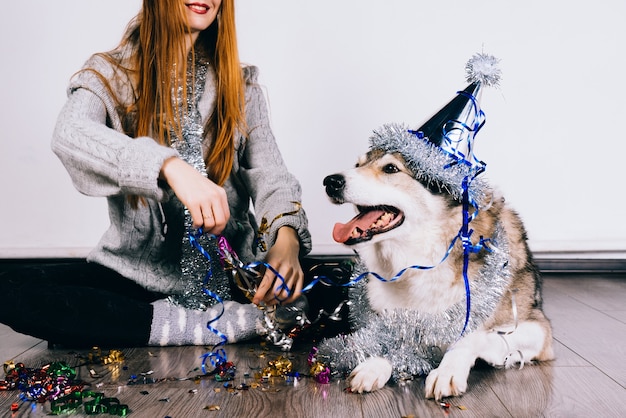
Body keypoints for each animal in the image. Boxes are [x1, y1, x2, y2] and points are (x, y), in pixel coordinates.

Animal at [322, 142, 552, 400]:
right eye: (357, 164)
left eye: (391, 168)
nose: (330, 181)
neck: (422, 262)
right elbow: (396, 336)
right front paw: (375, 364)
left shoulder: (539, 330)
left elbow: (473, 336)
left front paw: (448, 369)